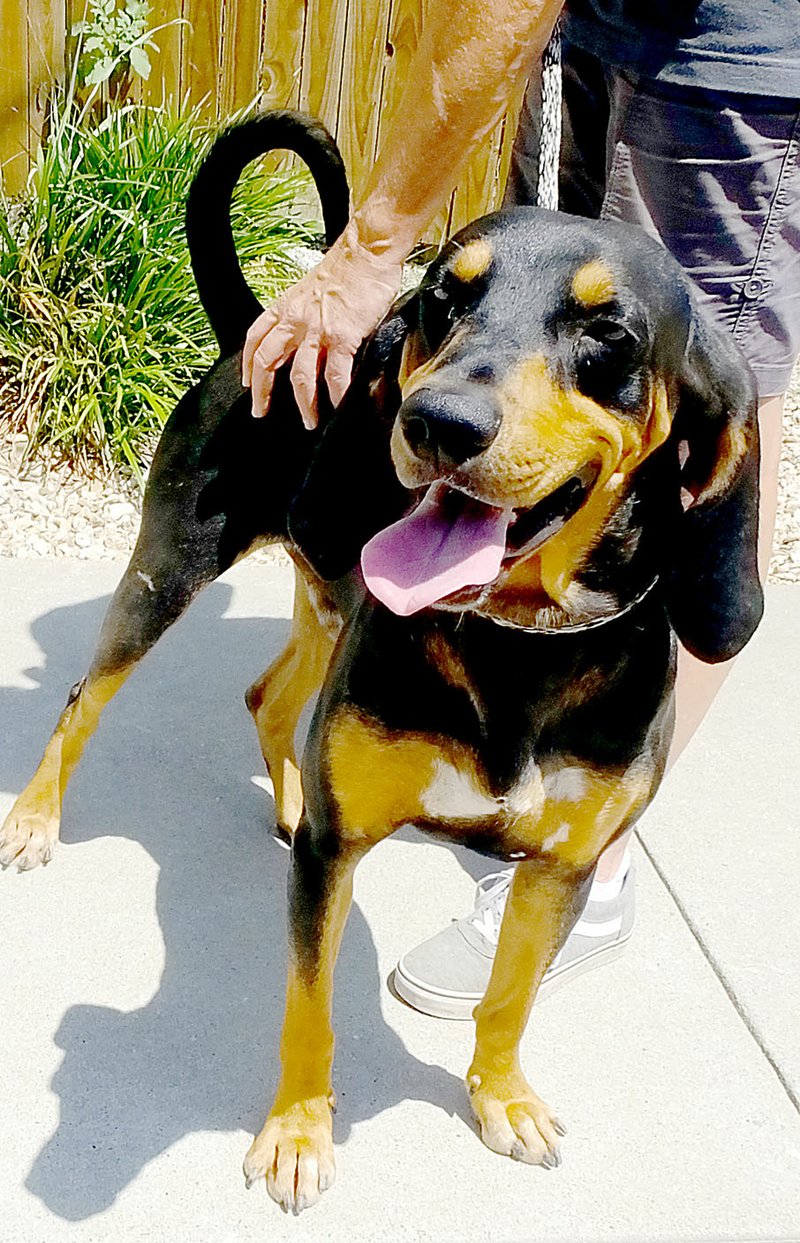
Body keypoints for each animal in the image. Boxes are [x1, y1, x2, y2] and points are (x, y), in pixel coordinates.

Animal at [0, 111, 760, 1208]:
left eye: (607, 336)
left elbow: (511, 997)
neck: (513, 645)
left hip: (327, 594)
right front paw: (298, 1133)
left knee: (269, 697)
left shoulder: (560, 870)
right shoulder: (335, 859)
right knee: (86, 694)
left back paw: (282, 801)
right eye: (443, 298)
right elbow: (310, 1006)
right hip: (166, 570)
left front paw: (500, 1095)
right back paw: (34, 819)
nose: (435, 422)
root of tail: (249, 328)